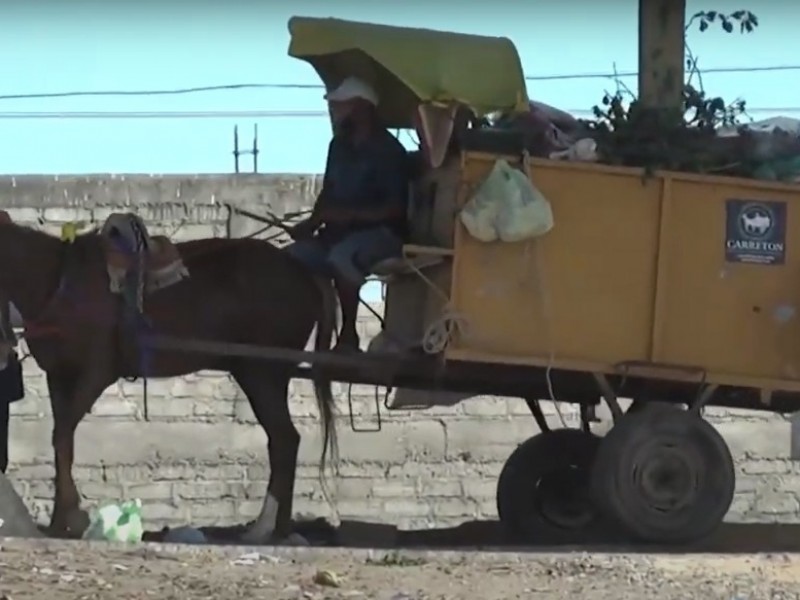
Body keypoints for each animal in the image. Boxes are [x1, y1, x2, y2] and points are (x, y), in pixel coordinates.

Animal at [0, 219, 338, 544]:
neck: (60, 282)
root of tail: (302, 270)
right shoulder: (58, 376)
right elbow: (63, 443)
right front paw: (61, 518)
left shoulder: (95, 373)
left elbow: (61, 437)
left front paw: (72, 516)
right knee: (284, 440)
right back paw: (278, 528)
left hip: (263, 372)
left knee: (284, 440)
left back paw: (267, 528)